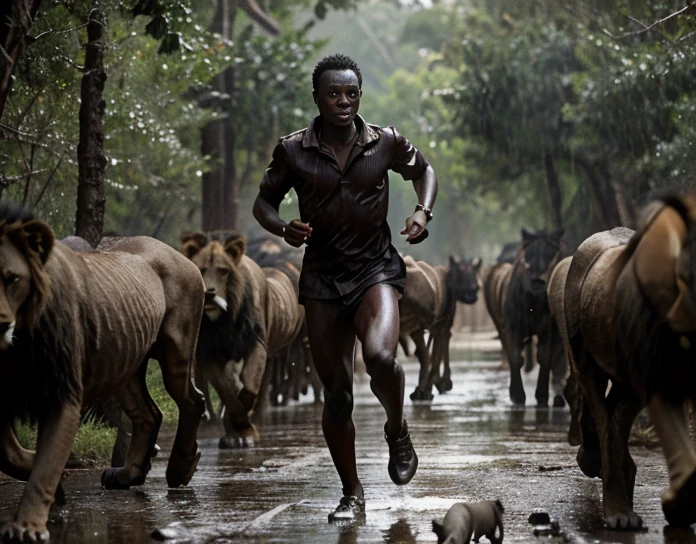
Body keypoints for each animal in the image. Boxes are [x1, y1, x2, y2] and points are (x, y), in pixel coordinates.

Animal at [0, 203, 207, 540]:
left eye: (12, 280)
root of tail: (181, 256)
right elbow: (10, 454)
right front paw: (55, 487)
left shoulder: (62, 391)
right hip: (126, 357)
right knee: (148, 412)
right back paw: (127, 475)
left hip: (176, 346)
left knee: (190, 398)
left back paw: (179, 469)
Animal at [179, 230, 304, 446]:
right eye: (201, 269)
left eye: (223, 270)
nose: (209, 293)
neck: (225, 320)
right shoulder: (210, 352)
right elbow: (227, 390)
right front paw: (235, 433)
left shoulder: (257, 344)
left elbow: (250, 386)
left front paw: (246, 430)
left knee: (264, 386)